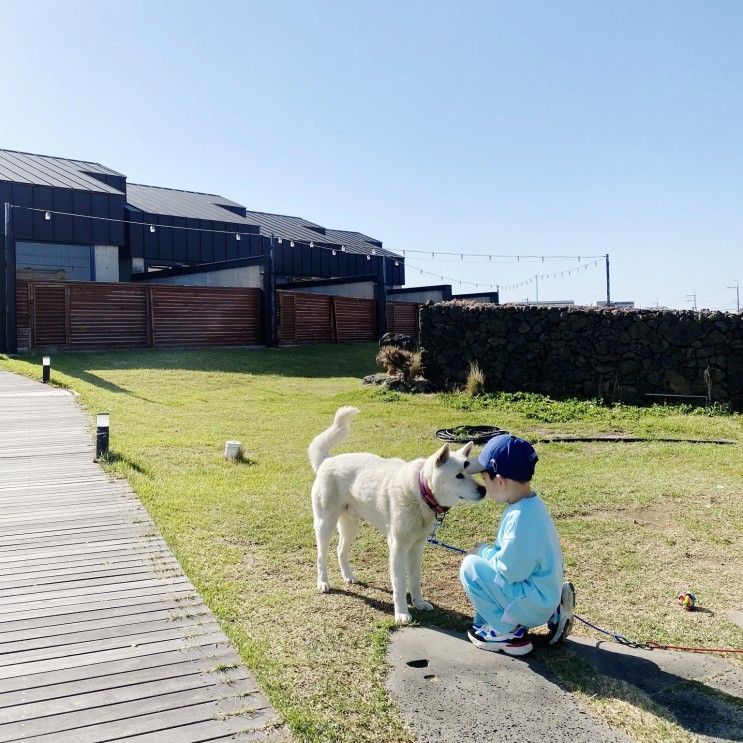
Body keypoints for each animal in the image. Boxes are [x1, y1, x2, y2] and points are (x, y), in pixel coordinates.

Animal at [308, 410, 488, 624]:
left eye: (471, 473)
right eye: (459, 475)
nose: (484, 490)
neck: (421, 492)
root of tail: (327, 461)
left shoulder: (417, 548)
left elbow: (415, 580)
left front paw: (419, 603)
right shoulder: (398, 549)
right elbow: (400, 585)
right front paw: (402, 613)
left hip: (350, 525)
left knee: (340, 550)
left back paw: (349, 576)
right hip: (325, 524)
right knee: (321, 556)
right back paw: (323, 582)